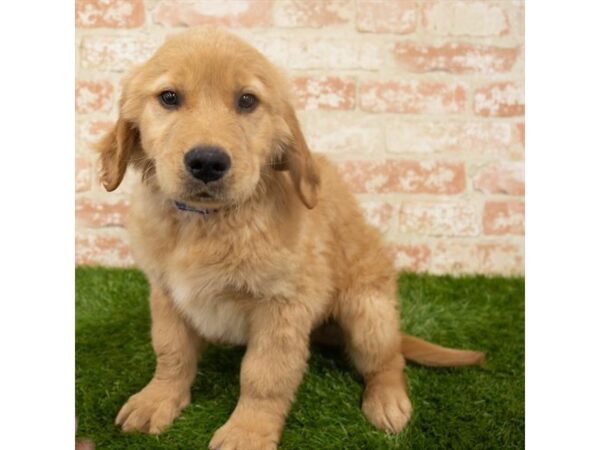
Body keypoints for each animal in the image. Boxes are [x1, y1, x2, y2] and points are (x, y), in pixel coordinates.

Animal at [97, 29, 482, 450]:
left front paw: (247, 432)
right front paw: (158, 399)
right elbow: (172, 353)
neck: (207, 223)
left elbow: (264, 375)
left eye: (247, 100)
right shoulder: (166, 294)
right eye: (169, 97)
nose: (207, 162)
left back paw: (387, 400)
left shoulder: (282, 304)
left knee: (388, 359)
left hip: (369, 312)